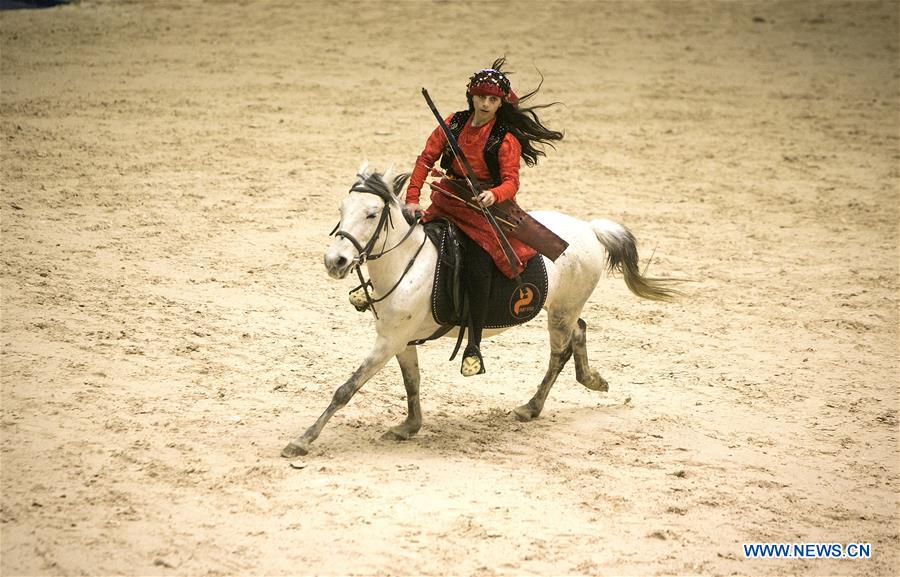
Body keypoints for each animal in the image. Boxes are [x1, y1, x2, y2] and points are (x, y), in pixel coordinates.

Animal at [281, 167, 678, 458]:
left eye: (371, 213)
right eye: (341, 210)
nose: (335, 261)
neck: (405, 264)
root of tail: (590, 229)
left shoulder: (388, 342)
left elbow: (345, 389)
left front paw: (303, 440)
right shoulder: (399, 341)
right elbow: (412, 382)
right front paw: (409, 427)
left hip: (560, 312)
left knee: (560, 352)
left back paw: (531, 406)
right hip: (563, 309)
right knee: (579, 331)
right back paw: (592, 379)